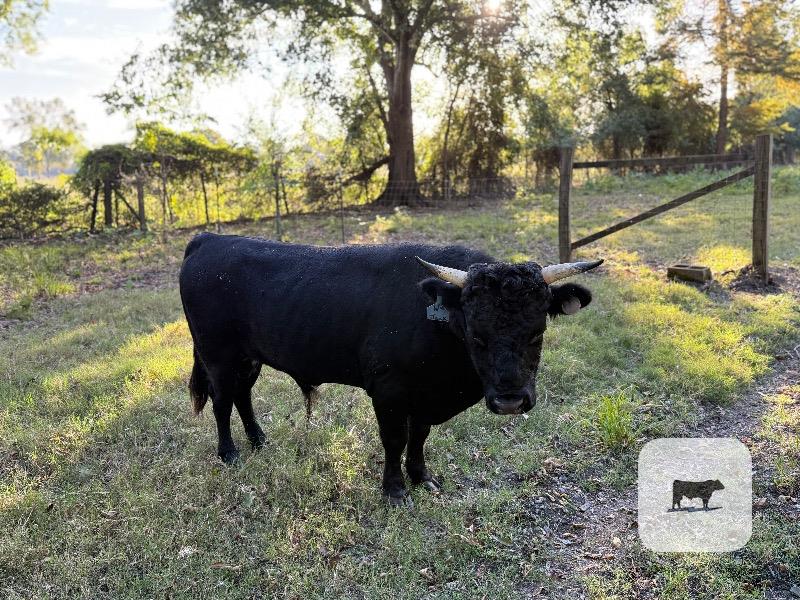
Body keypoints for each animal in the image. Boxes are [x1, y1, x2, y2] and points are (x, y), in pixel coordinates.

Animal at [179, 233, 602, 506]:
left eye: (537, 331)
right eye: (476, 335)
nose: (511, 400)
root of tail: (209, 239)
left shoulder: (426, 393)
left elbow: (420, 436)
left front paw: (421, 476)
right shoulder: (388, 390)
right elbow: (395, 438)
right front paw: (395, 489)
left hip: (248, 356)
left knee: (242, 395)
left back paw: (259, 441)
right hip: (217, 354)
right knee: (222, 401)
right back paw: (230, 453)